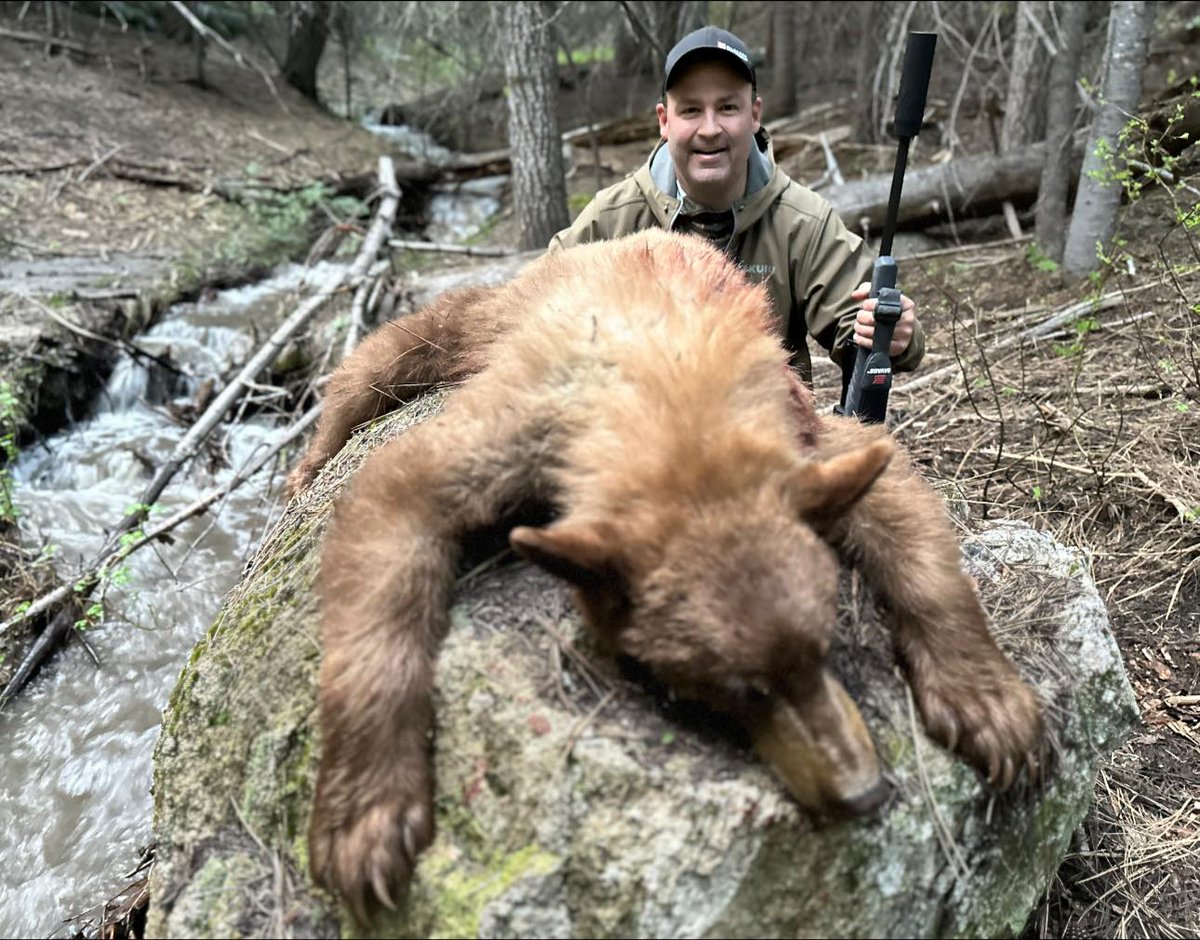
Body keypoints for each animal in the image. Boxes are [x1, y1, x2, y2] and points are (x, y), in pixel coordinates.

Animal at [289, 229, 1044, 921]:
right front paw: (366, 819)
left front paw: (990, 705)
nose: (865, 793)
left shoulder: (800, 435)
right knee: (391, 354)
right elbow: (396, 498)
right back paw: (309, 459)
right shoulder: (528, 419)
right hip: (493, 316)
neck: (672, 382)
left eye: (825, 646)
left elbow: (902, 509)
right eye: (740, 688)